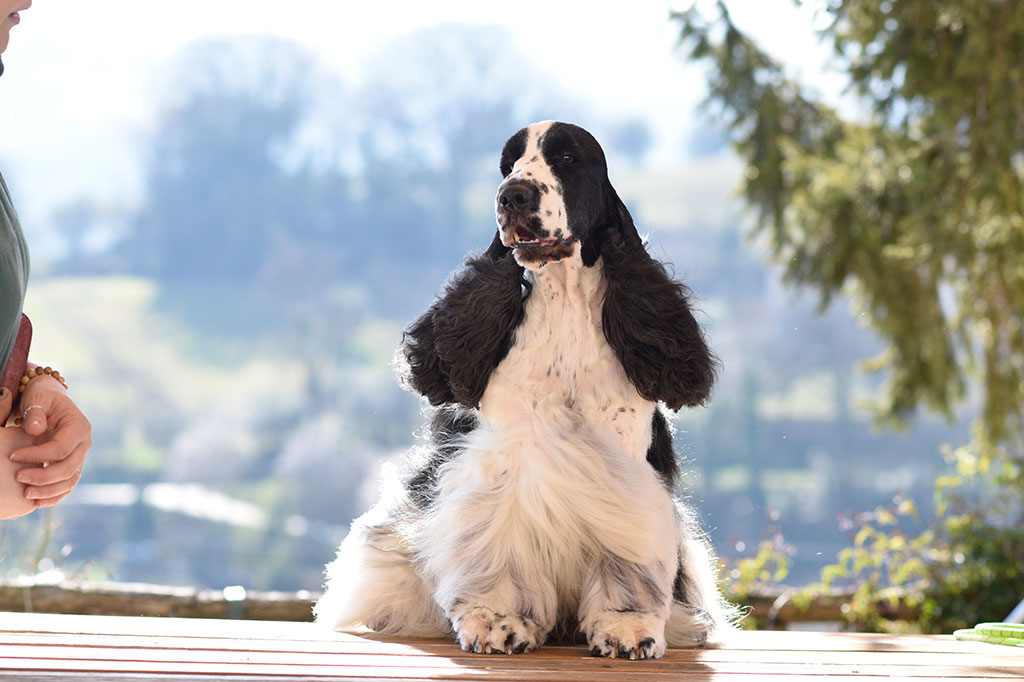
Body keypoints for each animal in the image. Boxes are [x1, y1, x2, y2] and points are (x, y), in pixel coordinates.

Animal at [315, 120, 741, 655]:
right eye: (506, 164)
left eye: (567, 157)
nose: (512, 195)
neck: (563, 301)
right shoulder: (502, 463)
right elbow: (496, 552)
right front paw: (498, 623)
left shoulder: (626, 475)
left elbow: (629, 558)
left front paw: (626, 629)